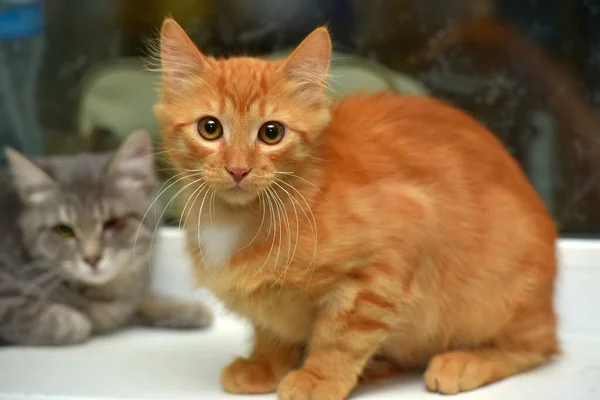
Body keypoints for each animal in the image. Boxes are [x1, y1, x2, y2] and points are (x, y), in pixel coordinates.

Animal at [0, 130, 212, 346]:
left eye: (112, 223)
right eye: (64, 230)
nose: (92, 258)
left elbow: (137, 302)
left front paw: (184, 308)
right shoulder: (9, 301)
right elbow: (64, 322)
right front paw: (76, 319)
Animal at [154, 18, 556, 396]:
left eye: (271, 133)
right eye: (209, 128)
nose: (238, 169)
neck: (238, 219)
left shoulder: (397, 247)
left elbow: (343, 336)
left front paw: (319, 378)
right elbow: (272, 328)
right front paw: (265, 363)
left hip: (494, 294)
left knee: (539, 345)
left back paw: (465, 361)